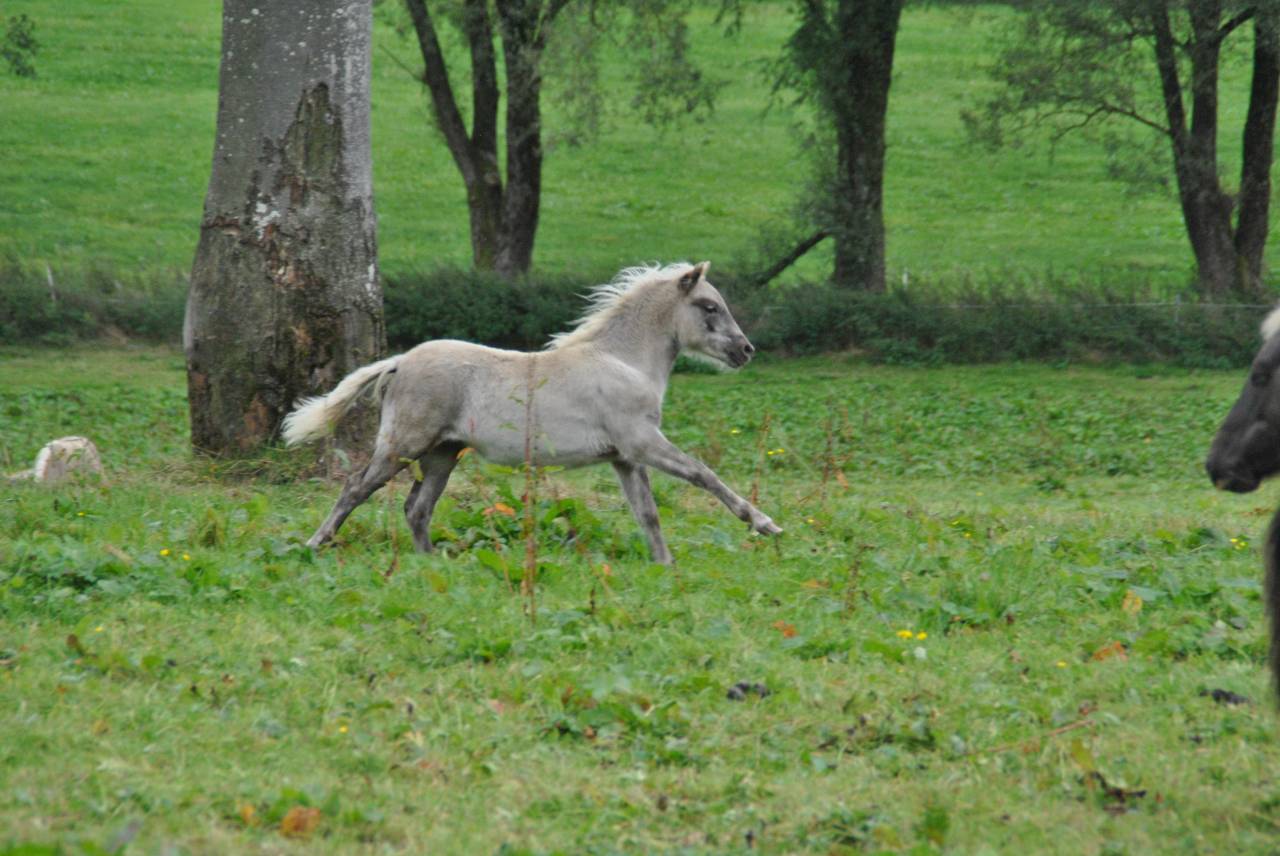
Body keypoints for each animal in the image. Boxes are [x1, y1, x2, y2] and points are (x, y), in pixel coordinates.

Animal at [283, 261, 782, 564]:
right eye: (709, 306)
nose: (746, 350)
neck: (622, 361)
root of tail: (400, 360)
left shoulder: (626, 457)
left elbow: (648, 513)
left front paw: (664, 563)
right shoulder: (642, 442)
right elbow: (703, 474)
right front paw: (765, 524)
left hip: (444, 453)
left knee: (416, 508)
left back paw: (430, 562)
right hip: (403, 445)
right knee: (355, 488)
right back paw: (314, 544)